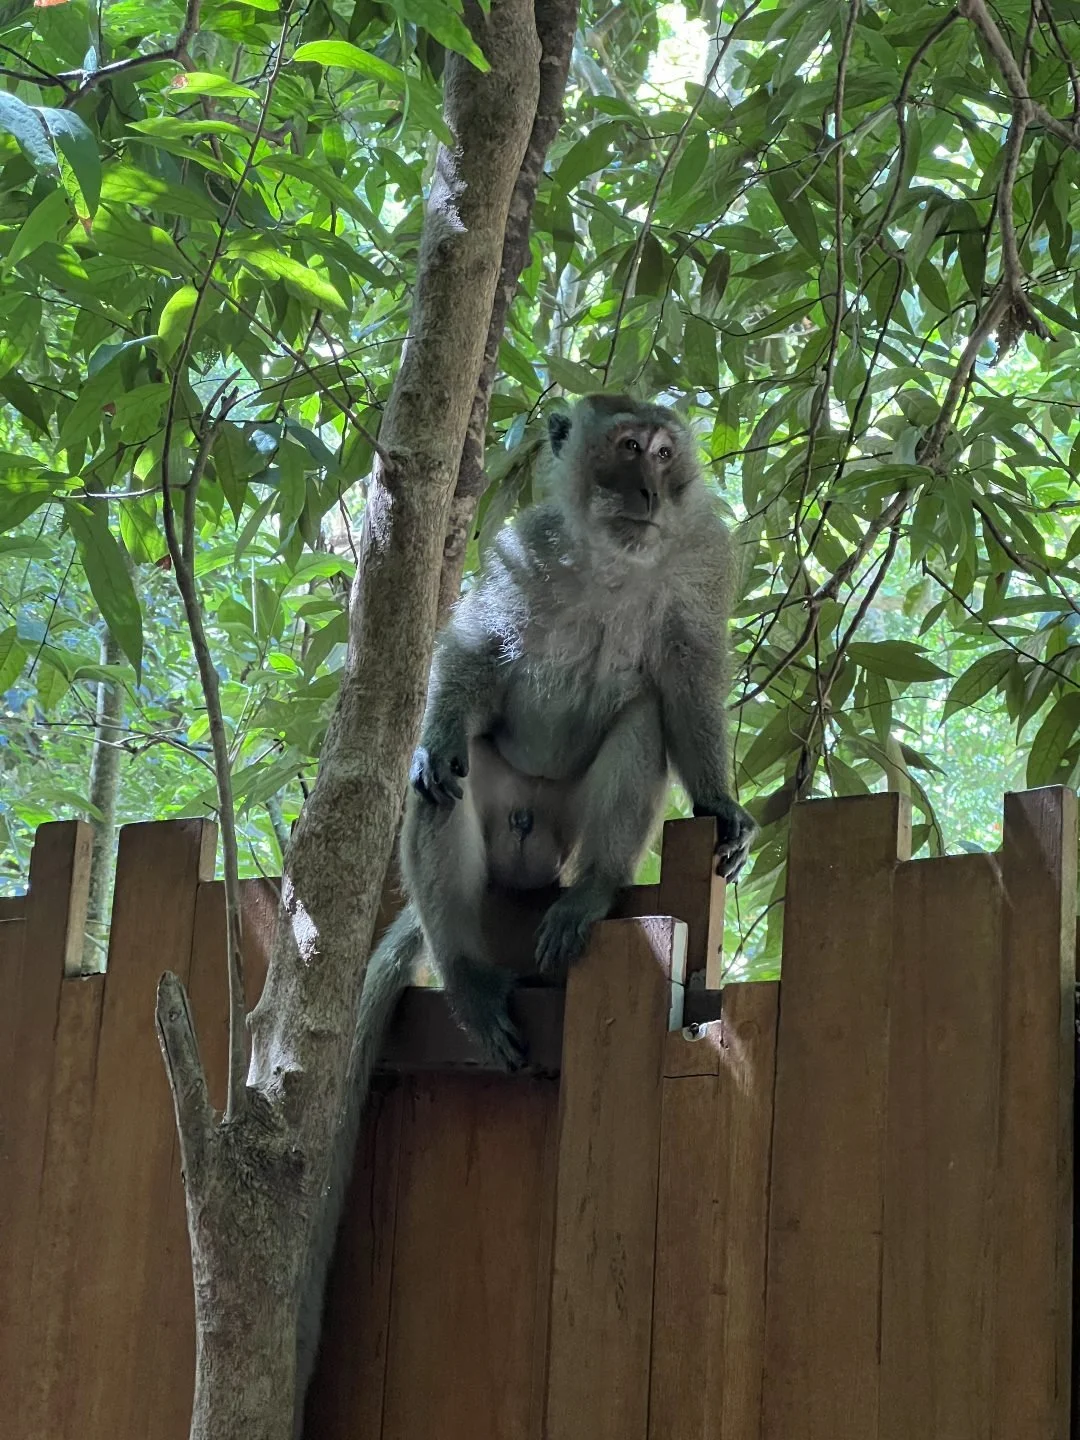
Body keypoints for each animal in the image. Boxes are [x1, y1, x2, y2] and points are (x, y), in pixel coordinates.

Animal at [294, 393, 755, 1424]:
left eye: (663, 452)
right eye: (625, 449)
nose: (649, 488)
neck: (617, 558)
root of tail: (532, 854)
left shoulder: (700, 561)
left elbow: (687, 684)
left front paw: (721, 804)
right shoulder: (525, 548)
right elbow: (473, 651)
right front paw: (434, 730)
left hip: (570, 825)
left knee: (641, 717)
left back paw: (588, 896)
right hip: (500, 811)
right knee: (452, 767)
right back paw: (466, 969)